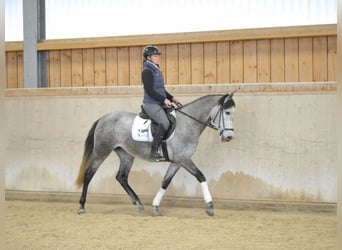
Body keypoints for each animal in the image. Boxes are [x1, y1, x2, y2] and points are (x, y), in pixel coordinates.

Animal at [75, 91, 235, 216]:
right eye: (227, 112)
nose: (229, 137)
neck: (188, 123)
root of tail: (103, 118)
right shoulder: (184, 159)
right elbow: (200, 176)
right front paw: (210, 206)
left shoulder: (177, 161)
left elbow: (165, 181)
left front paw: (155, 206)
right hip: (102, 151)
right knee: (89, 174)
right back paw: (82, 206)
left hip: (126, 154)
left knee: (122, 177)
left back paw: (138, 203)